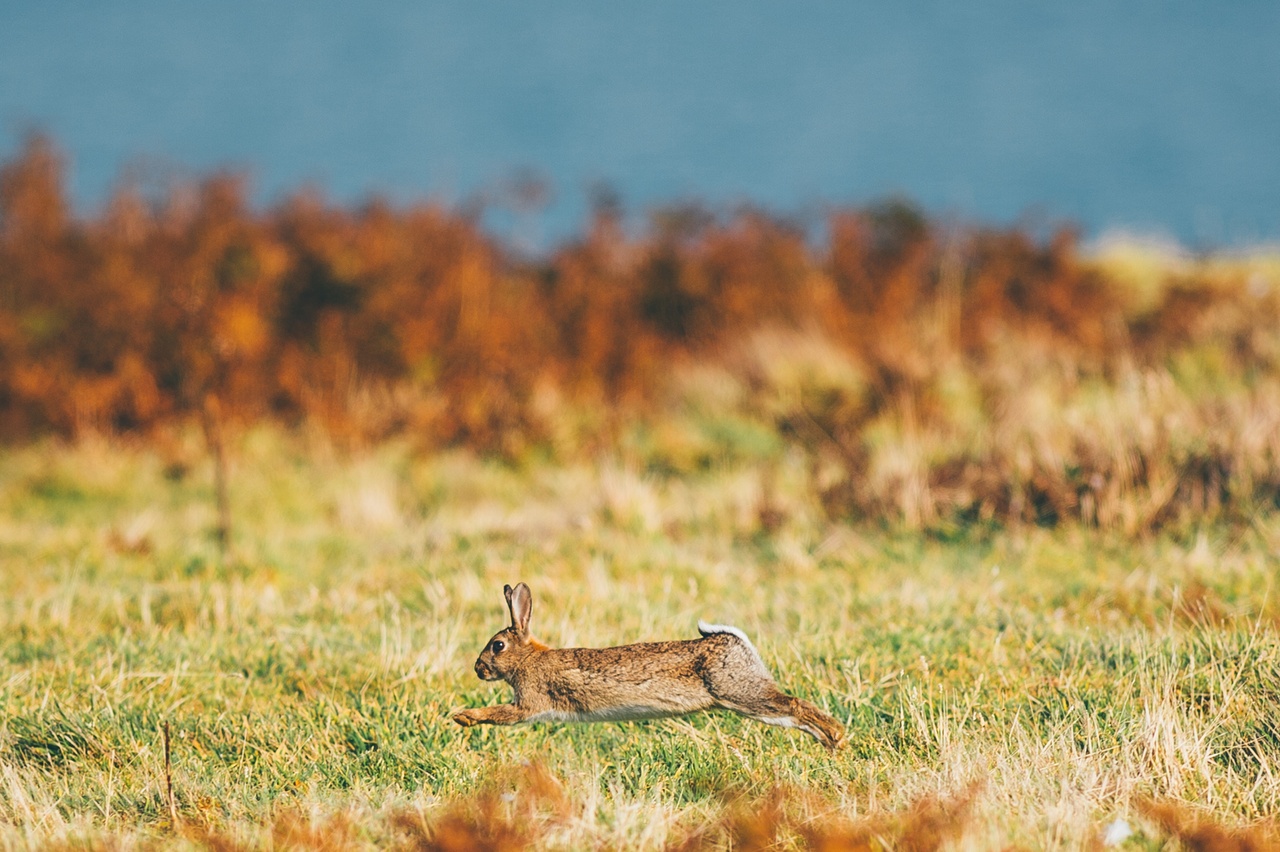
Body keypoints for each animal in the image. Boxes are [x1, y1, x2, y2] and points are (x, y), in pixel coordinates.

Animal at [453, 580, 849, 747]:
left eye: (498, 646)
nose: (478, 669)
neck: (528, 658)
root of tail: (734, 642)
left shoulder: (528, 704)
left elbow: (499, 714)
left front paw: (462, 717)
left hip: (740, 692)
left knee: (794, 704)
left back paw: (837, 737)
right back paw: (830, 742)